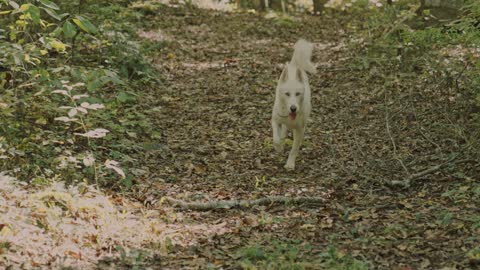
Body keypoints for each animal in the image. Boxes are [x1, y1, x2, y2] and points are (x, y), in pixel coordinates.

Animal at [272, 39, 316, 171]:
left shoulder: (300, 129)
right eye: (287, 94)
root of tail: (294, 64)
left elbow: (294, 149)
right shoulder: (275, 120)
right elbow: (276, 138)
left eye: (297, 93)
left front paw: (290, 164)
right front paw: (279, 147)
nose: (293, 108)